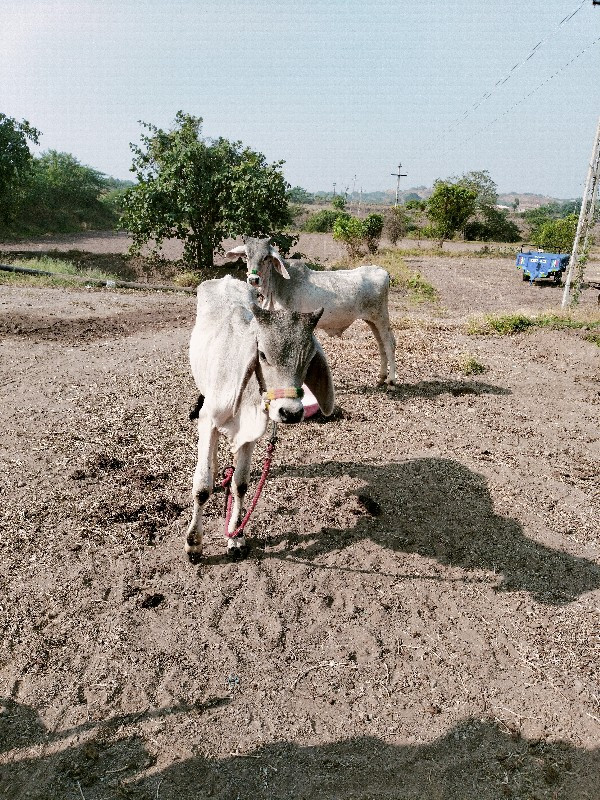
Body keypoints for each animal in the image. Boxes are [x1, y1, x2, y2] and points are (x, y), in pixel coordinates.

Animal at [185, 276, 336, 564]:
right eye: (263, 355)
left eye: (310, 358)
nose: (290, 412)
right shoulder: (208, 419)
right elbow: (201, 487)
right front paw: (194, 544)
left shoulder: (250, 434)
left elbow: (241, 484)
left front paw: (236, 536)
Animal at [227, 236, 396, 386]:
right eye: (247, 256)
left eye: (266, 257)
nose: (253, 280)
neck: (277, 286)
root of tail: (383, 271)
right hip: (371, 320)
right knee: (381, 344)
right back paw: (381, 378)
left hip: (381, 317)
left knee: (389, 343)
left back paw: (391, 381)